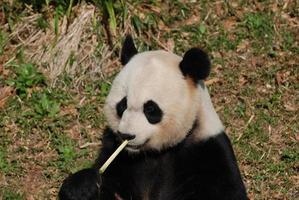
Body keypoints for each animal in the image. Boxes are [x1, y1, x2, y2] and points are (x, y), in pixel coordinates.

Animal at [59, 36, 248, 200]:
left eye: (150, 109)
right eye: (122, 105)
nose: (126, 135)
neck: (154, 153)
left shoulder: (208, 149)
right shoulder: (116, 151)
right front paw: (83, 186)